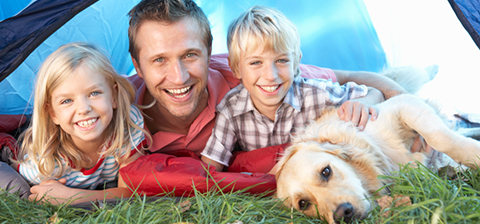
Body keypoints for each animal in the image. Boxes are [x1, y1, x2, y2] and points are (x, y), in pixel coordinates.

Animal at [276, 65, 480, 223]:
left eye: (326, 172)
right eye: (303, 204)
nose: (343, 214)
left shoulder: (402, 103)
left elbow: (439, 138)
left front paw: (474, 155)